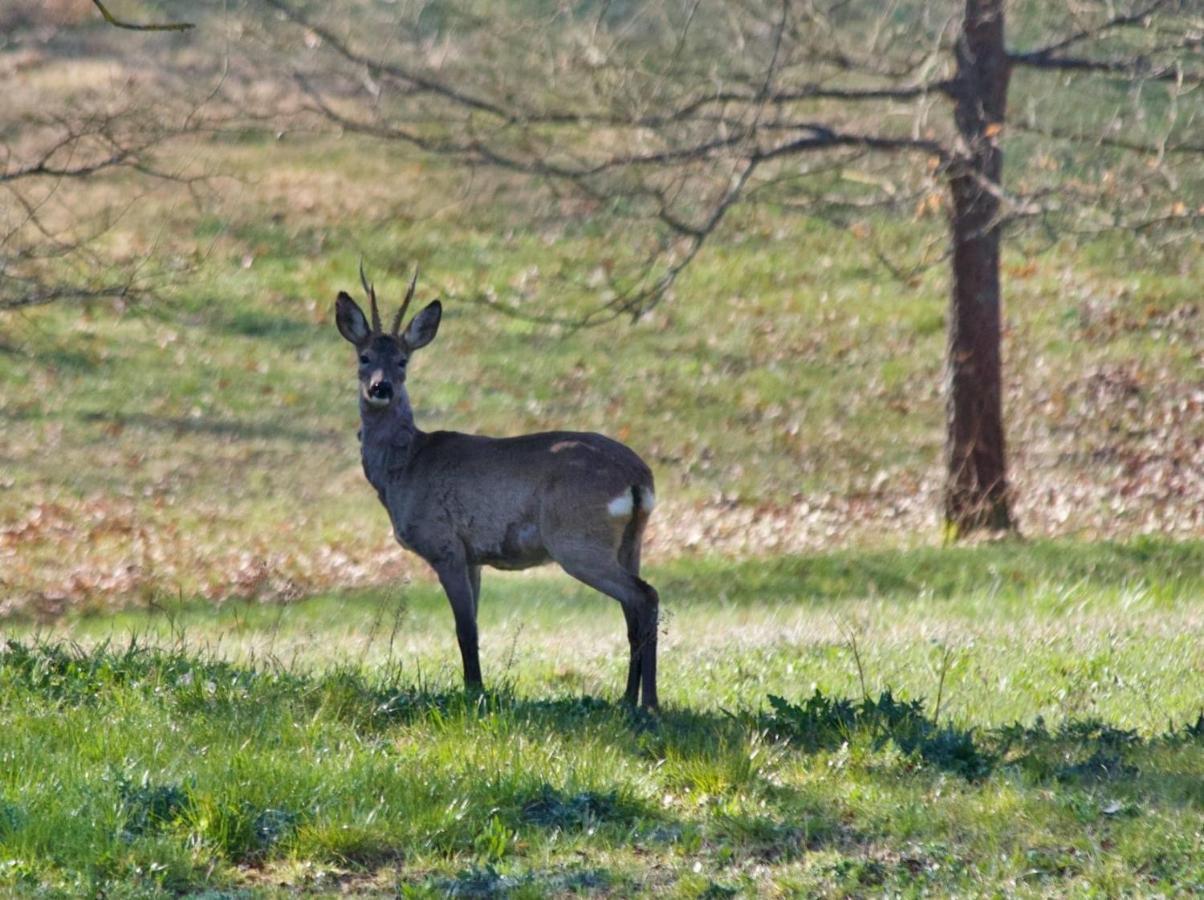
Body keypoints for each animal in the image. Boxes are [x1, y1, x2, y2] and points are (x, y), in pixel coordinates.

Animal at [334, 267, 664, 712]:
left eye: (403, 360)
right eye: (364, 357)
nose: (380, 388)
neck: (406, 467)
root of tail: (638, 477)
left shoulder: (445, 544)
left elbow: (465, 628)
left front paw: (474, 691)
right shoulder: (473, 555)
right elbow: (472, 623)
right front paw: (476, 687)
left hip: (576, 539)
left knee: (644, 597)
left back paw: (648, 704)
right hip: (631, 540)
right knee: (634, 609)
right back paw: (630, 699)